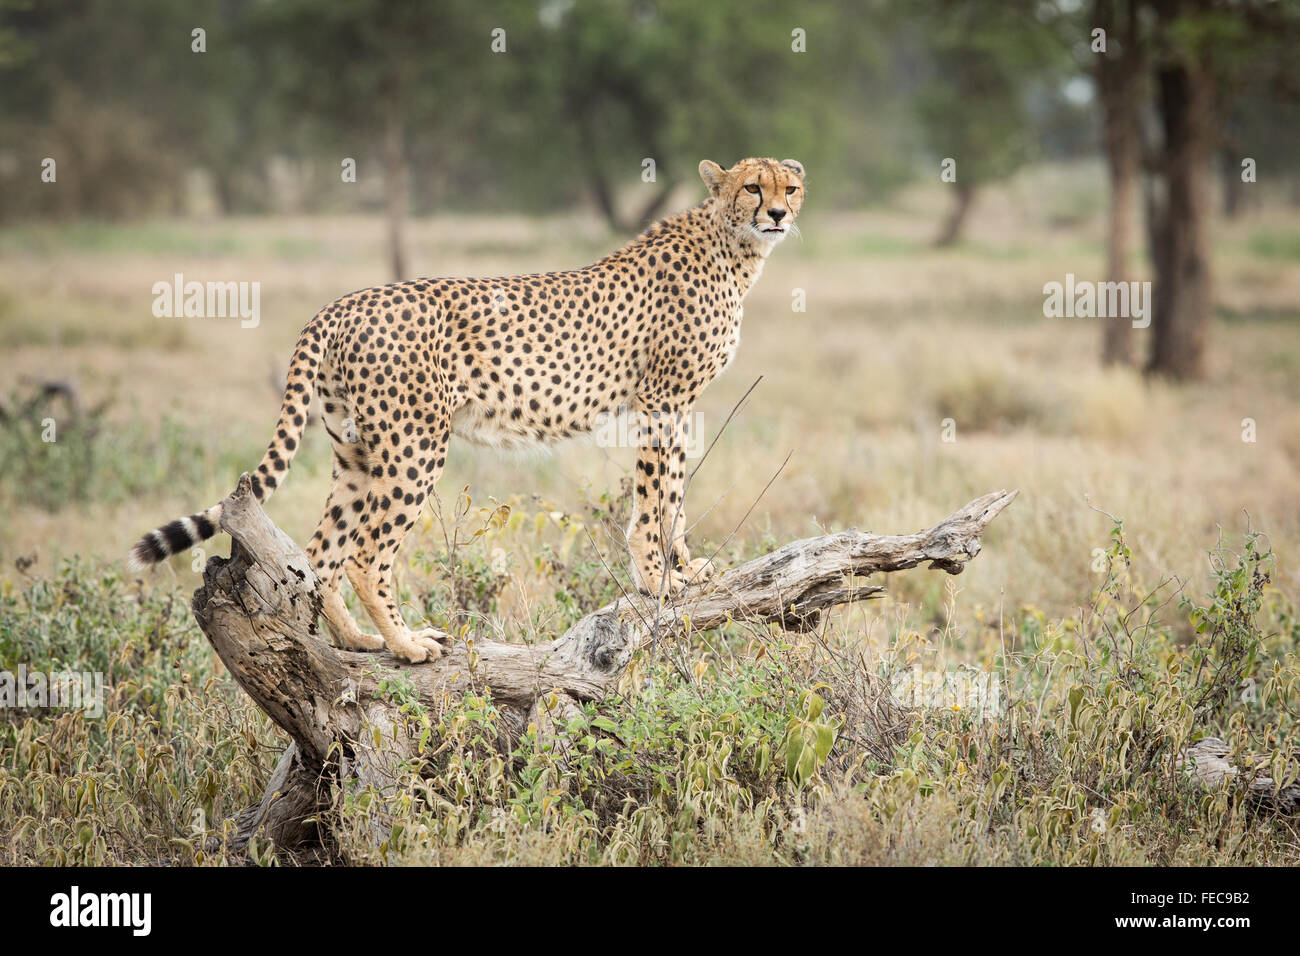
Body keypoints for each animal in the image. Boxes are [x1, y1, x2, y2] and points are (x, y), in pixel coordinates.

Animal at [129, 158, 800, 665]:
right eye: (752, 187)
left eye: (788, 187)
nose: (778, 214)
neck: (731, 246)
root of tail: (340, 303)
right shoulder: (663, 399)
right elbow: (661, 495)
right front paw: (661, 578)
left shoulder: (666, 404)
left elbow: (669, 492)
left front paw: (682, 571)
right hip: (416, 444)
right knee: (368, 554)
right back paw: (407, 644)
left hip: (355, 450)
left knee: (323, 554)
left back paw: (356, 640)